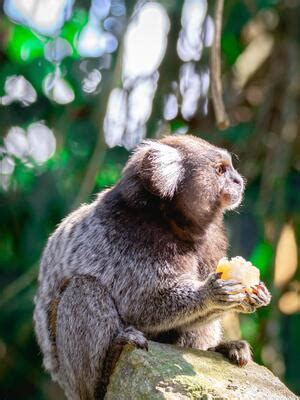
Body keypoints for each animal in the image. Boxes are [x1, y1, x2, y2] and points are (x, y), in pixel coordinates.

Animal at [33, 135, 272, 400]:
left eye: (231, 168)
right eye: (220, 170)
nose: (239, 181)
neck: (172, 222)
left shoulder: (212, 243)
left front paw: (254, 296)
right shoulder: (129, 238)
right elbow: (140, 305)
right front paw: (210, 293)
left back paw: (220, 348)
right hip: (71, 377)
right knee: (83, 287)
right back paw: (108, 366)